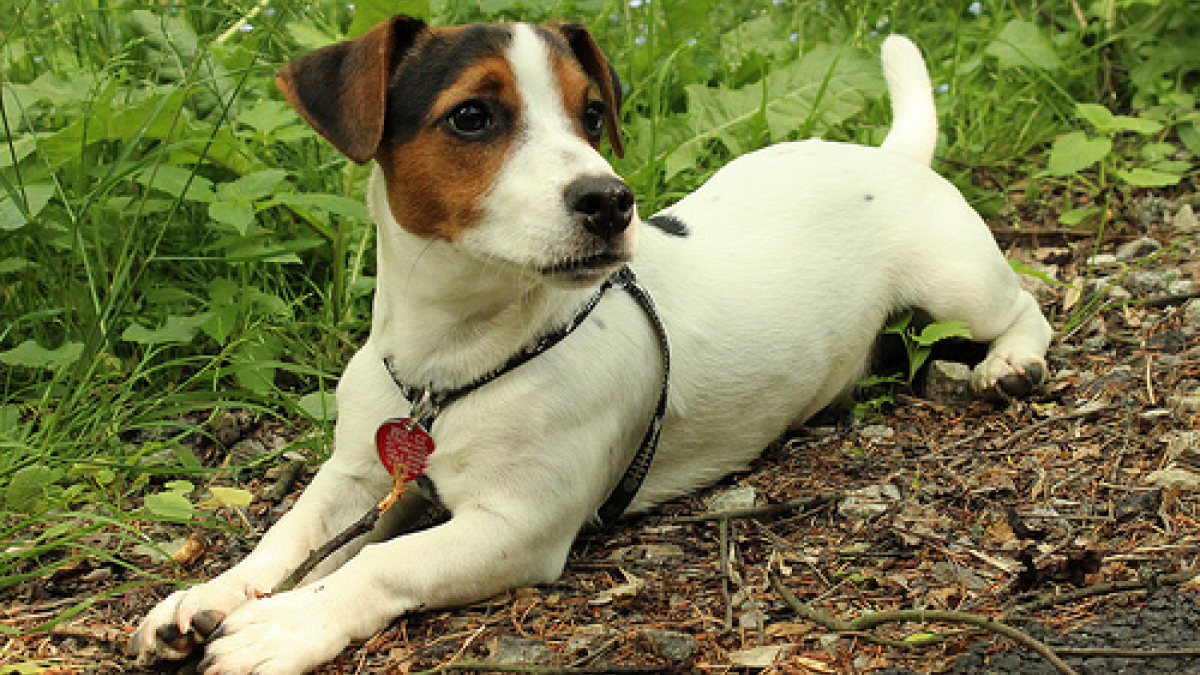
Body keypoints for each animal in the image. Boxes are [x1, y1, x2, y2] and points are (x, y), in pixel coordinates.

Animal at [133, 17, 1051, 672]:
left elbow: (378, 567)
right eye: (472, 116)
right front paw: (211, 594)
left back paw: (1012, 363)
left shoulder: (517, 524)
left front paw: (284, 623)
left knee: (1026, 303)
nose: (610, 200)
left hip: (959, 282)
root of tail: (891, 155)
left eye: (593, 113)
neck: (449, 361)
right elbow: (288, 534)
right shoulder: (362, 475)